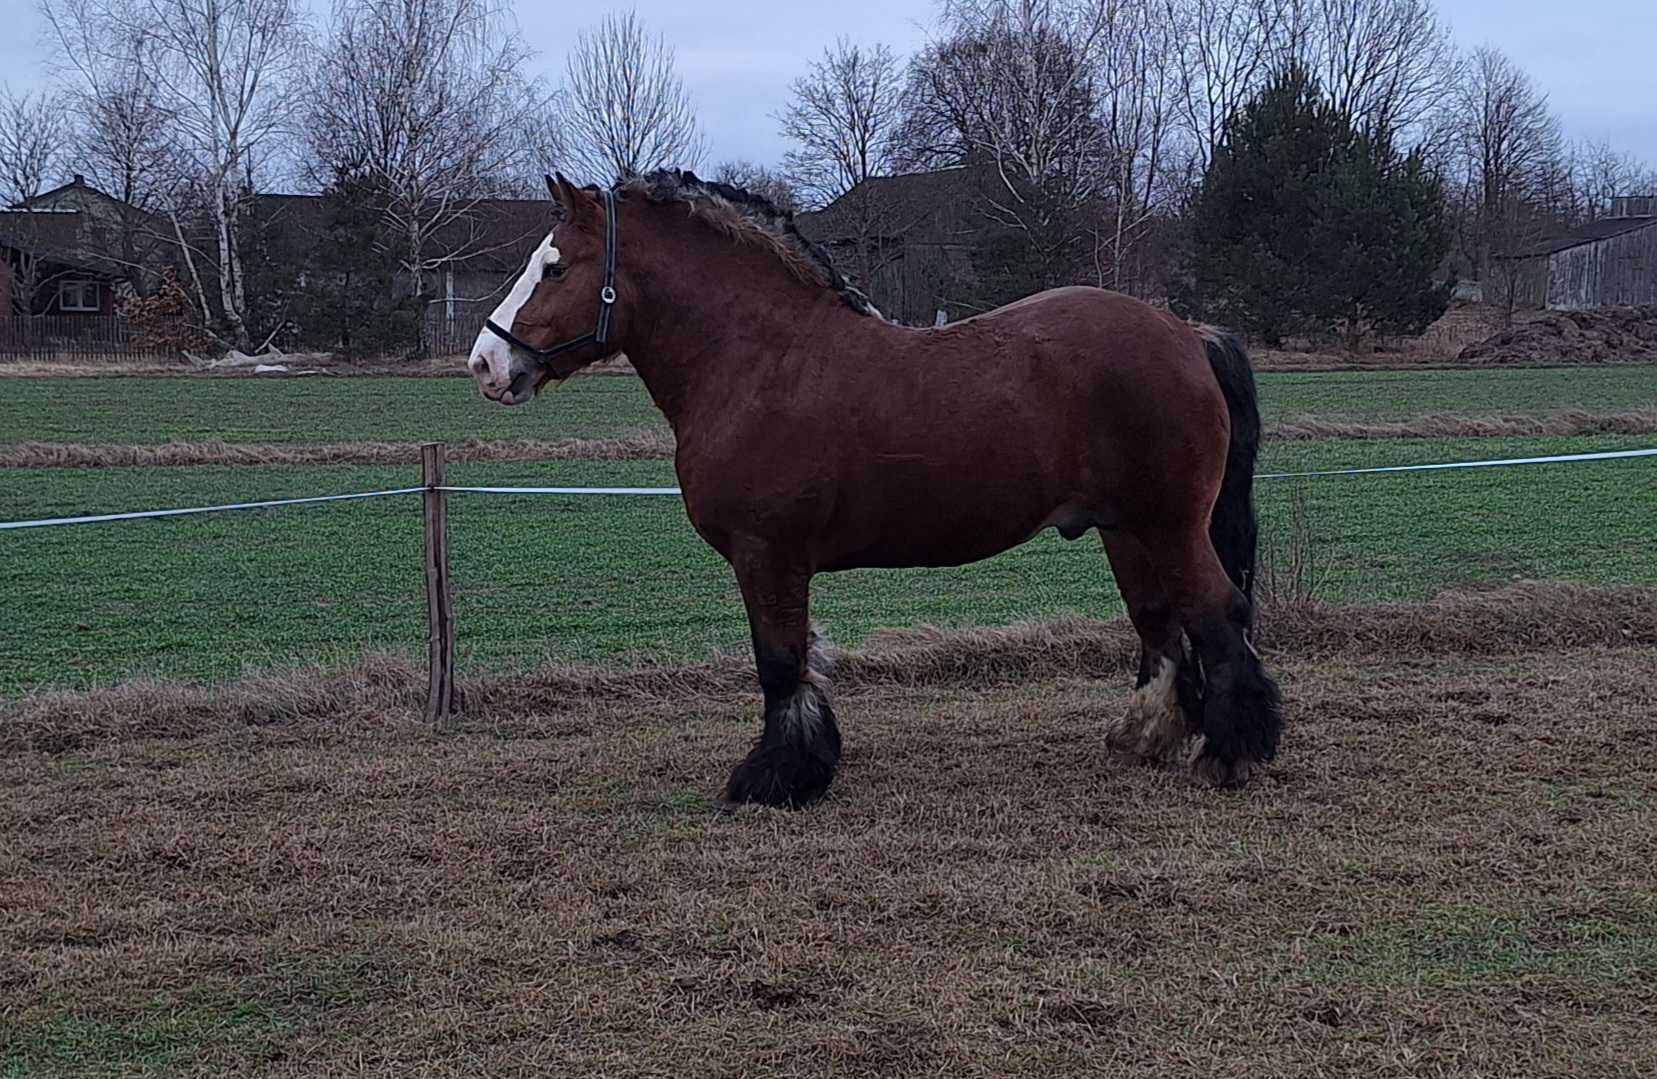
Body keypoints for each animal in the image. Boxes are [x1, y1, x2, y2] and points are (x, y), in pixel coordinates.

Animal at [467, 170, 1279, 808]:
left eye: (554, 267)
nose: (484, 364)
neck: (760, 360)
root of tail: (1186, 333)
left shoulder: (765, 554)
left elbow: (779, 660)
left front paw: (774, 778)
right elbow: (795, 658)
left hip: (1170, 524)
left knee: (1214, 613)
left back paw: (1228, 753)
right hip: (1127, 529)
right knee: (1159, 622)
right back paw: (1147, 737)